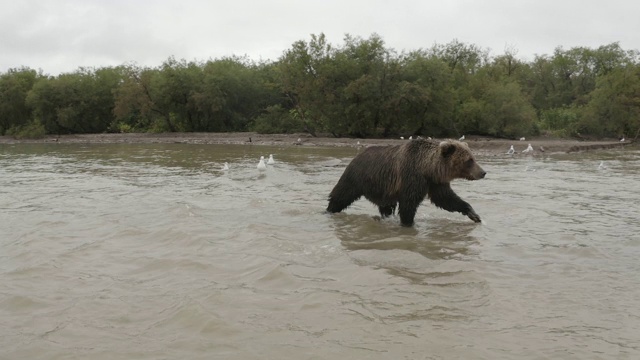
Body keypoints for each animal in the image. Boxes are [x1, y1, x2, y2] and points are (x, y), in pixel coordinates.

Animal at [328, 139, 488, 226]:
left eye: (473, 157)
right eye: (469, 160)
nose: (483, 172)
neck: (428, 169)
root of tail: (357, 156)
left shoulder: (435, 182)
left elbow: (446, 199)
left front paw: (473, 214)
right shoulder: (412, 177)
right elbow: (408, 204)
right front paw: (408, 224)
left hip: (383, 190)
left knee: (386, 207)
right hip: (357, 177)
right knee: (341, 195)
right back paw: (330, 210)